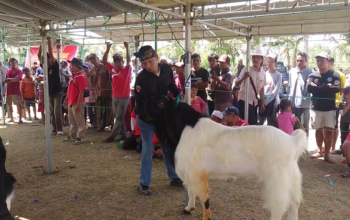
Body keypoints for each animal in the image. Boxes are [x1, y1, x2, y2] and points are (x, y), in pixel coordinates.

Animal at [175, 118, 306, 220]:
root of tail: (293, 141)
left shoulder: (196, 172)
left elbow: (204, 199)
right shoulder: (192, 172)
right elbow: (191, 190)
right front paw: (189, 208)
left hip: (278, 179)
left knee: (279, 205)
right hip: (292, 178)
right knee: (294, 203)